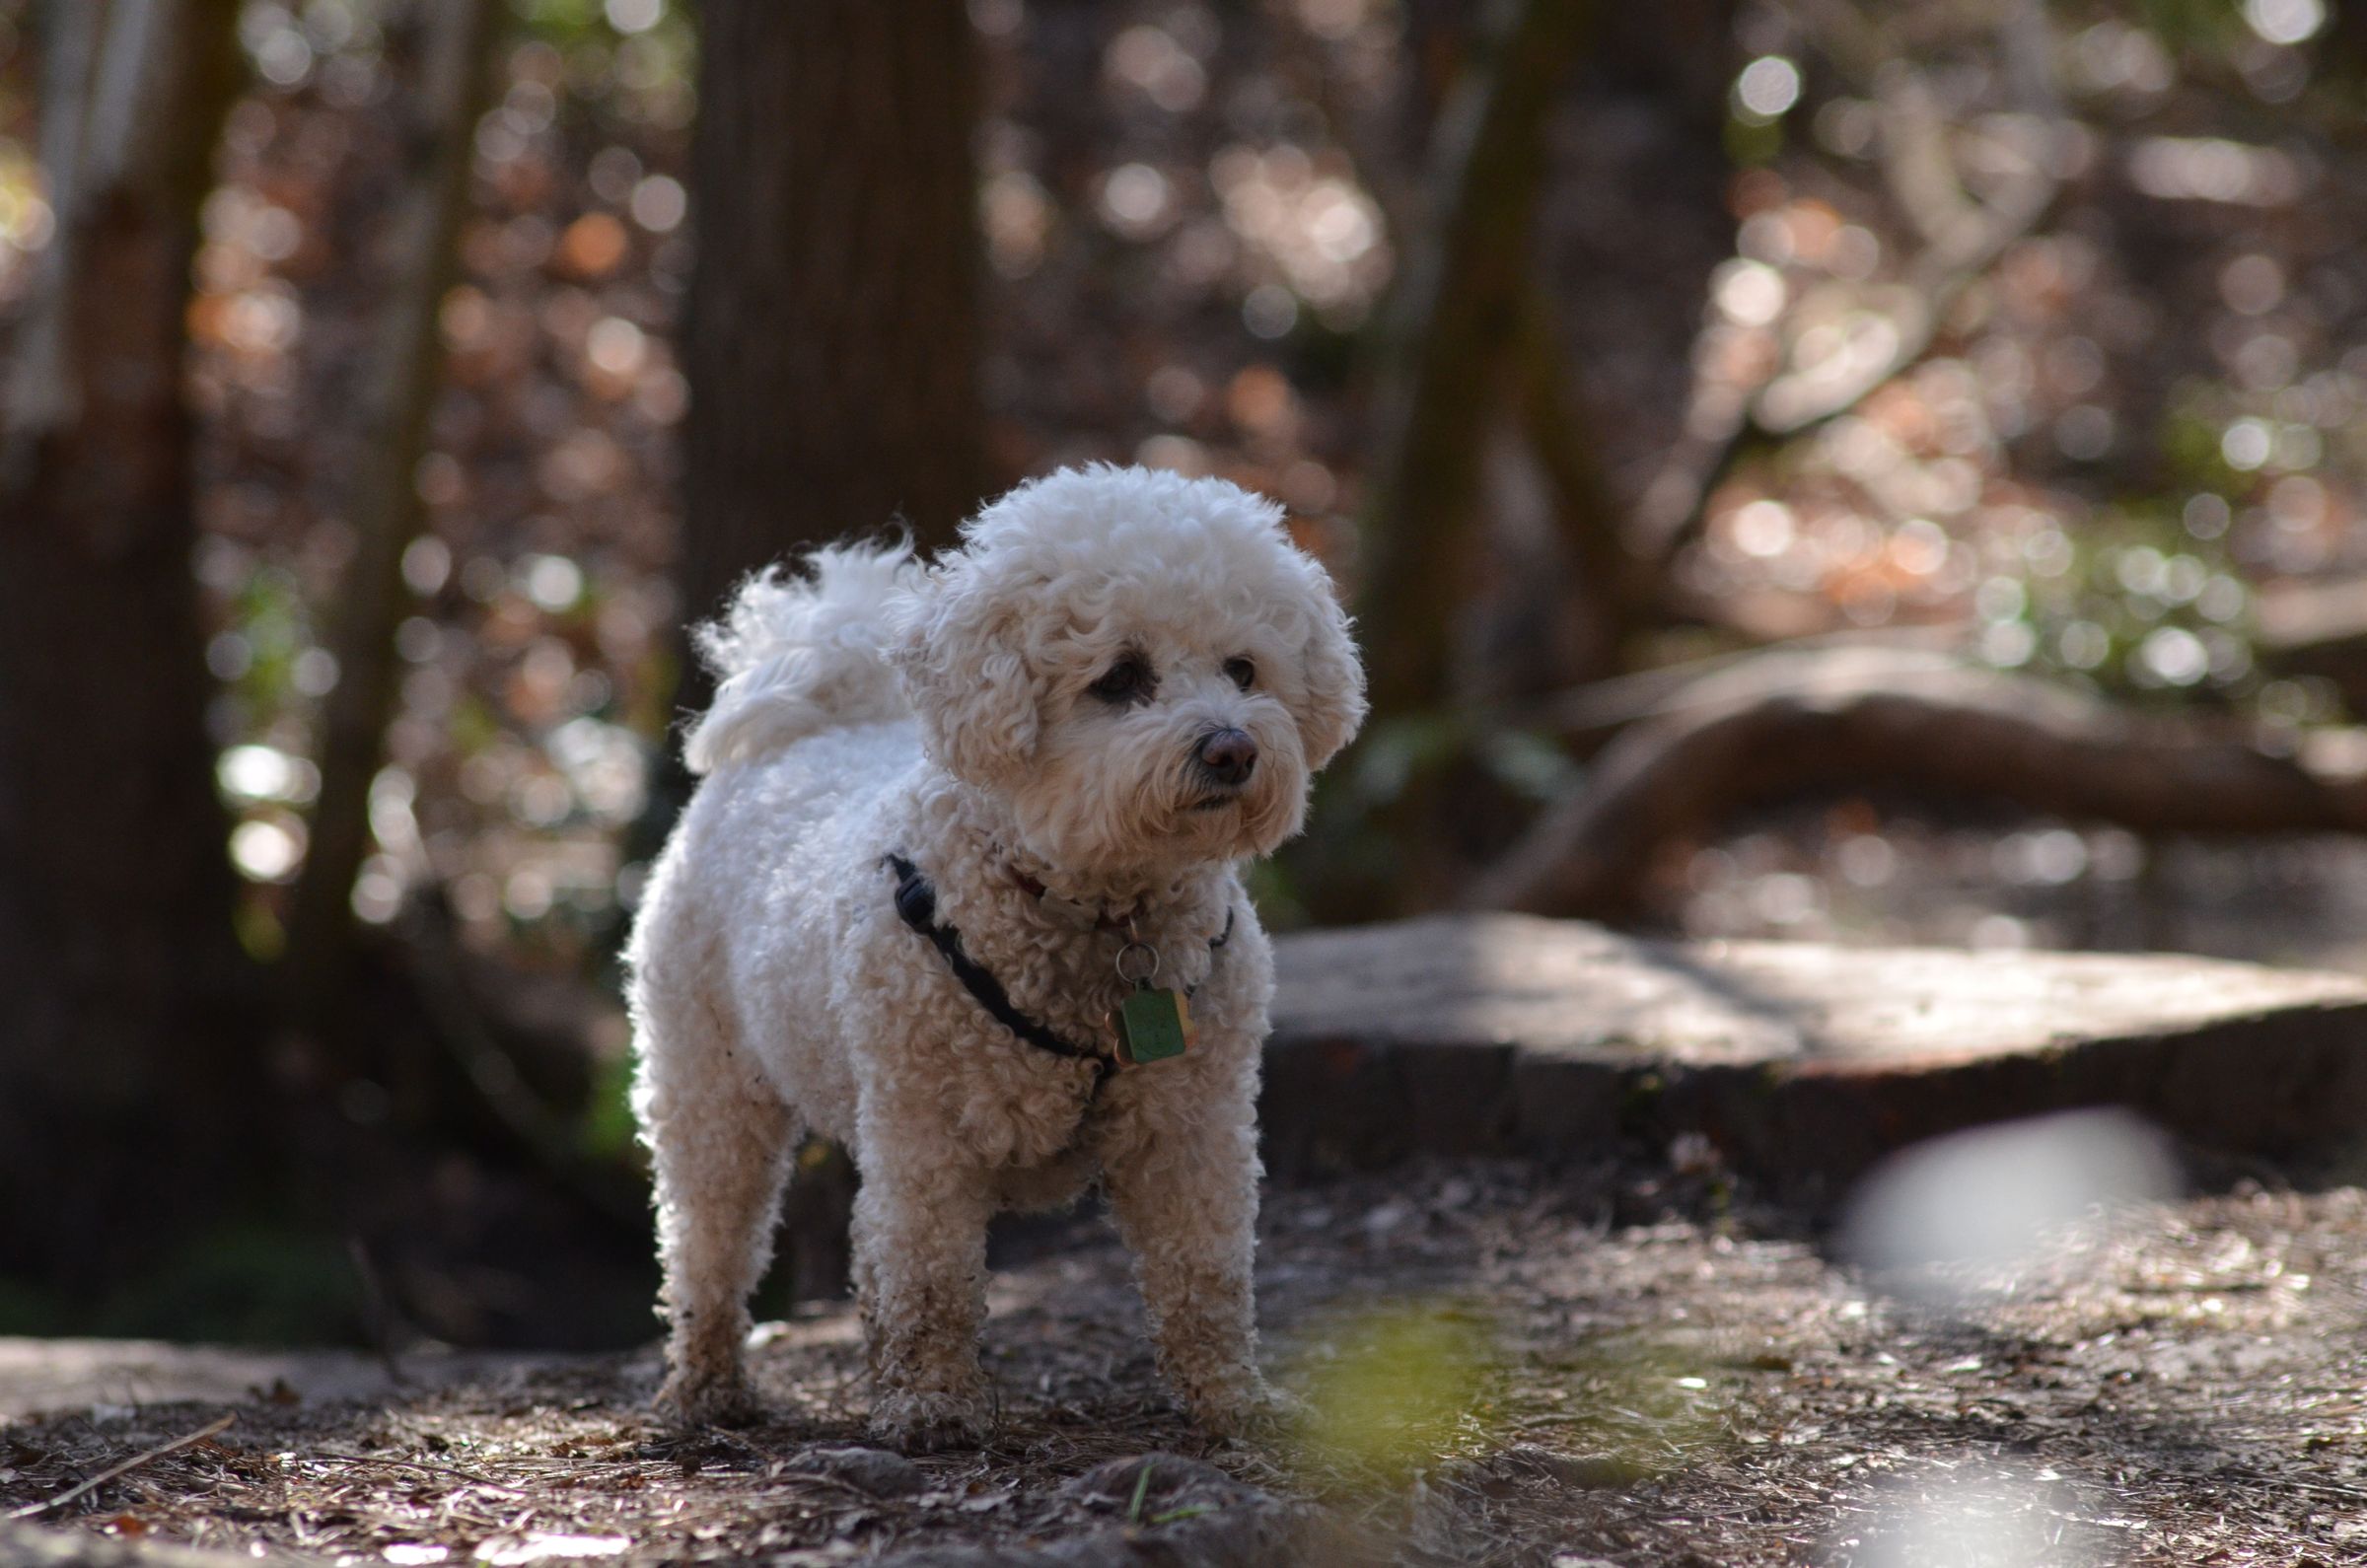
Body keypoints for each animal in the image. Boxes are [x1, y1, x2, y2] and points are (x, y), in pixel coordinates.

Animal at [629, 463, 1373, 1449]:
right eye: (1121, 678)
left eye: (1244, 669)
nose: (1233, 749)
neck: (1100, 916)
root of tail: (812, 722)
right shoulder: (925, 1132)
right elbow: (928, 1275)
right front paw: (931, 1406)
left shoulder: (1197, 1121)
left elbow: (1206, 1271)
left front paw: (1231, 1397)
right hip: (707, 1082)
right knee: (710, 1240)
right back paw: (705, 1388)